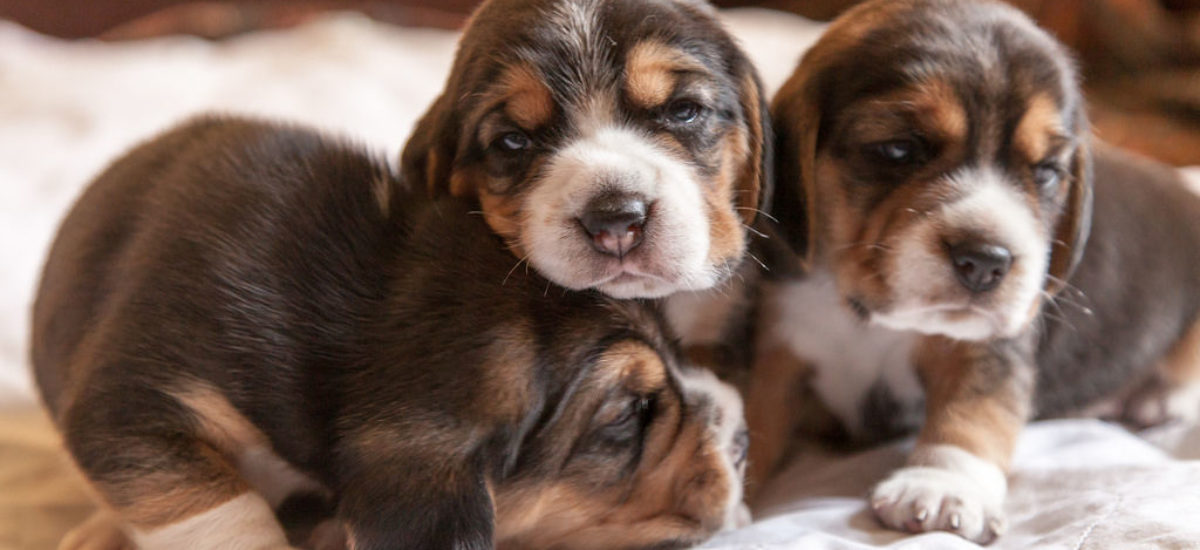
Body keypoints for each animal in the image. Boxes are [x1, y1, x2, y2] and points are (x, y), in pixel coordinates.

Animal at [748, 0, 1200, 542]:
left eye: (1045, 172)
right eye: (899, 149)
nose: (985, 261)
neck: (863, 311)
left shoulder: (990, 346)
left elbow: (971, 413)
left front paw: (940, 486)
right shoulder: (777, 344)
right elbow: (750, 416)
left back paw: (1155, 400)